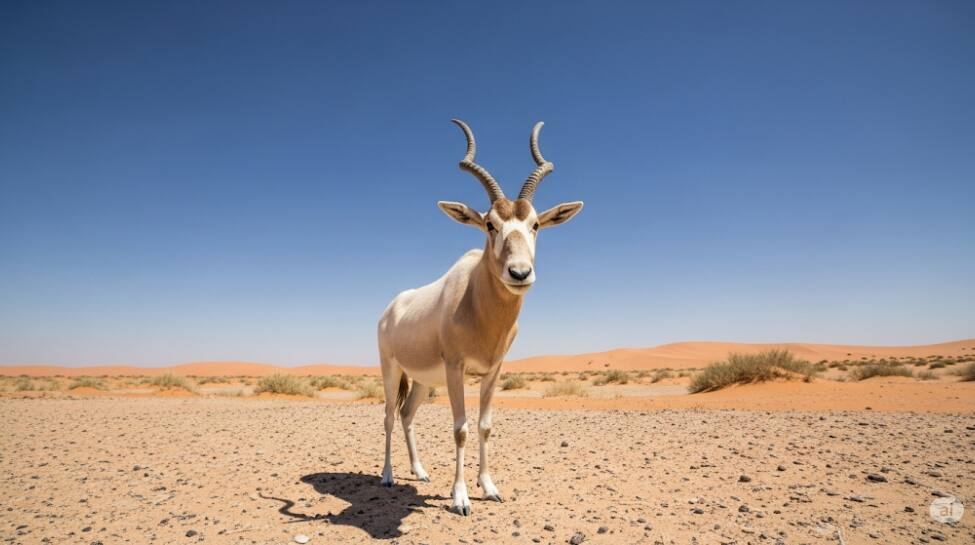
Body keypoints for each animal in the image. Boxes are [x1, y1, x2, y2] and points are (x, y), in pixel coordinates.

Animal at [377, 119, 583, 516]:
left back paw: (419, 471)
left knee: (408, 415)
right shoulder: (456, 368)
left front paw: (488, 487)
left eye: (535, 225)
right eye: (490, 223)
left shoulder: (493, 370)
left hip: (423, 379)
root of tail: (392, 307)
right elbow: (461, 428)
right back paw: (388, 476)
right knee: (390, 417)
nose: (519, 273)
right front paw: (460, 498)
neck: (475, 303)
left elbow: (485, 425)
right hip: (392, 370)